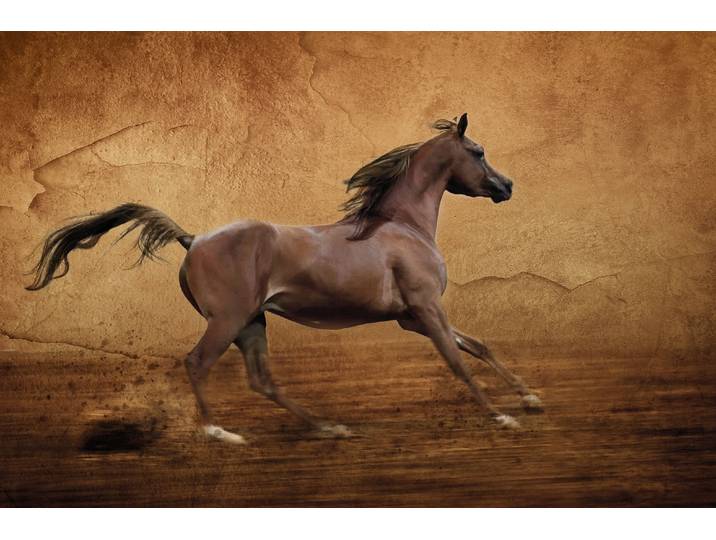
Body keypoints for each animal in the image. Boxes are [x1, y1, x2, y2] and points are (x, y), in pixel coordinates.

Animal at [26, 113, 542, 444]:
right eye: (477, 151)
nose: (508, 186)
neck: (401, 226)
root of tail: (193, 239)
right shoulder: (426, 307)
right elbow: (456, 360)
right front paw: (500, 417)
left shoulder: (412, 316)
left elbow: (478, 346)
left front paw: (530, 398)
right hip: (228, 320)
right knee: (197, 364)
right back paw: (221, 432)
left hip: (252, 322)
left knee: (262, 381)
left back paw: (328, 427)